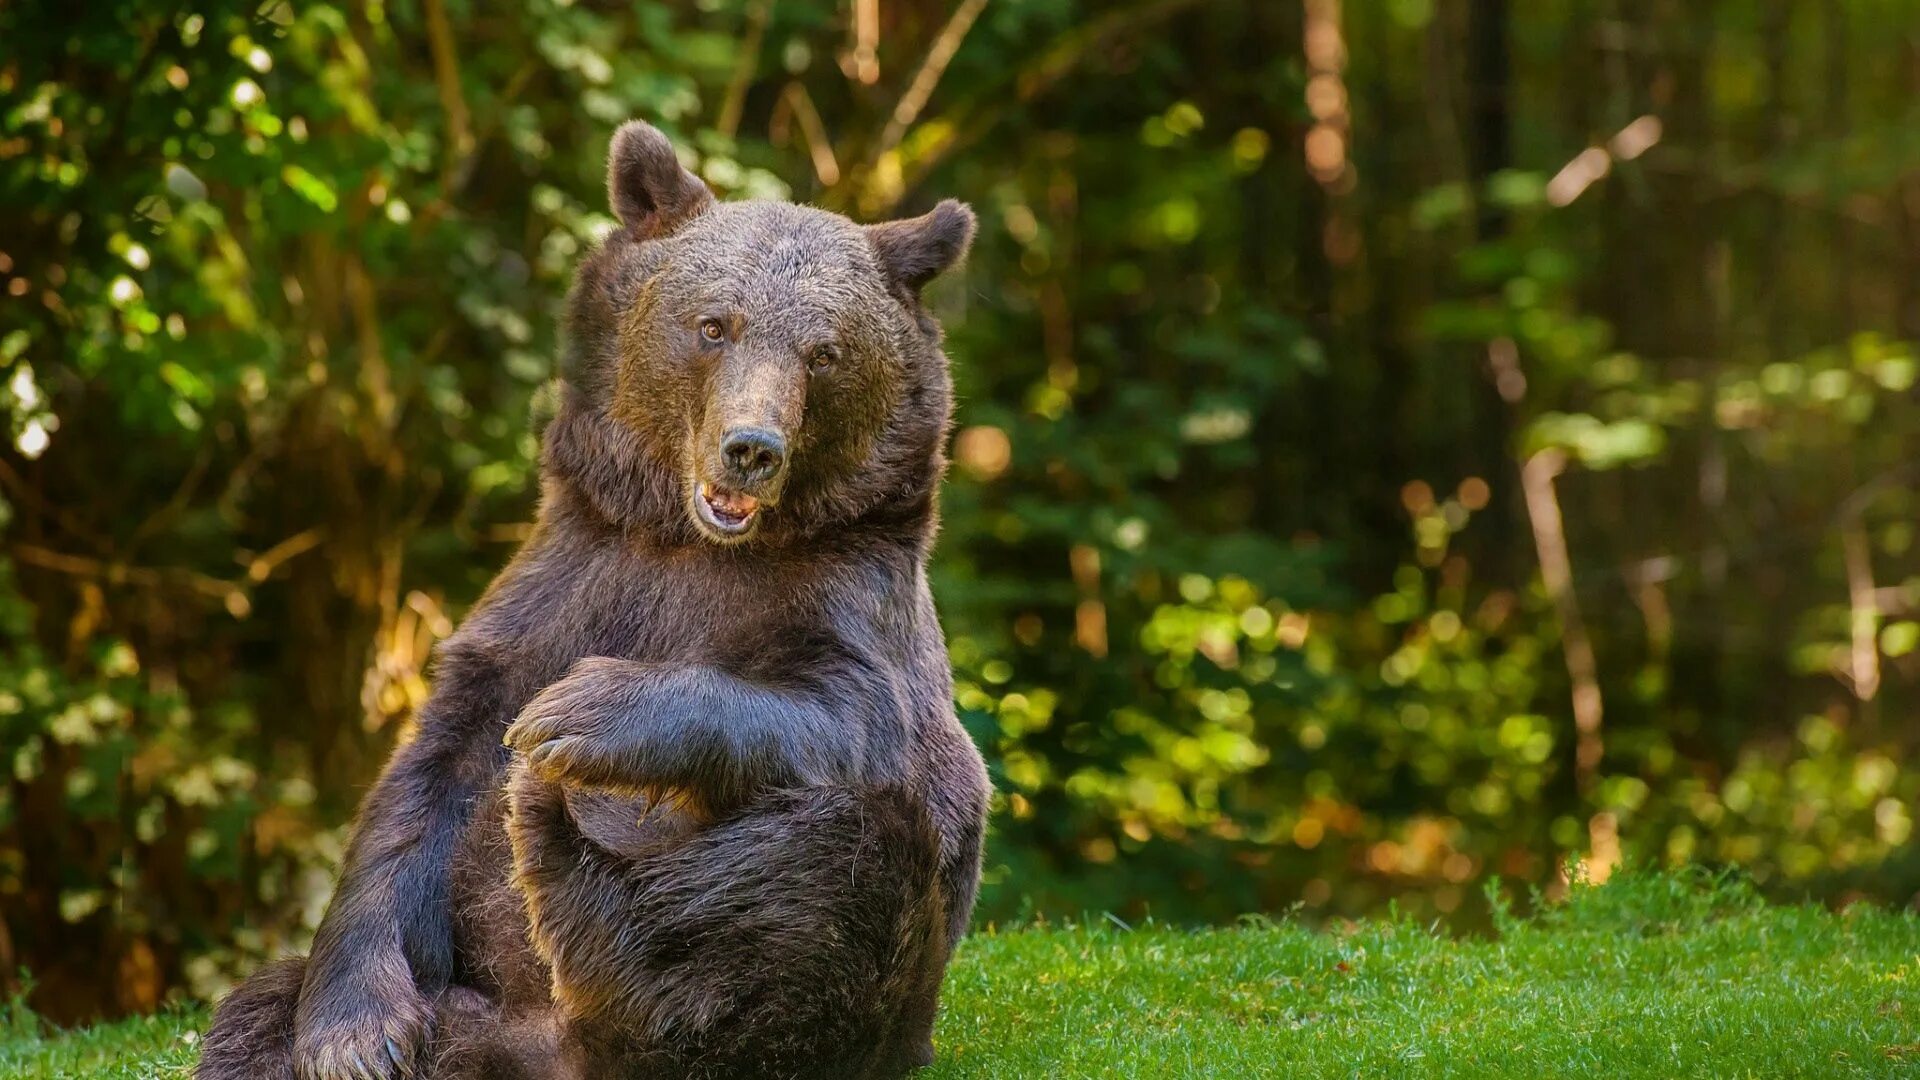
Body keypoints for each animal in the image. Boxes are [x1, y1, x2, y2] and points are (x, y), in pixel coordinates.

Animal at [198, 117, 990, 1076]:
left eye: (826, 352)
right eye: (714, 324)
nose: (751, 448)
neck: (691, 538)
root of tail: (547, 1046)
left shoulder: (847, 604)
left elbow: (848, 716)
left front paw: (574, 716)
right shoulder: (573, 579)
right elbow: (424, 787)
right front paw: (356, 1034)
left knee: (823, 867)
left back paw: (571, 863)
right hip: (457, 1018)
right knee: (252, 1015)